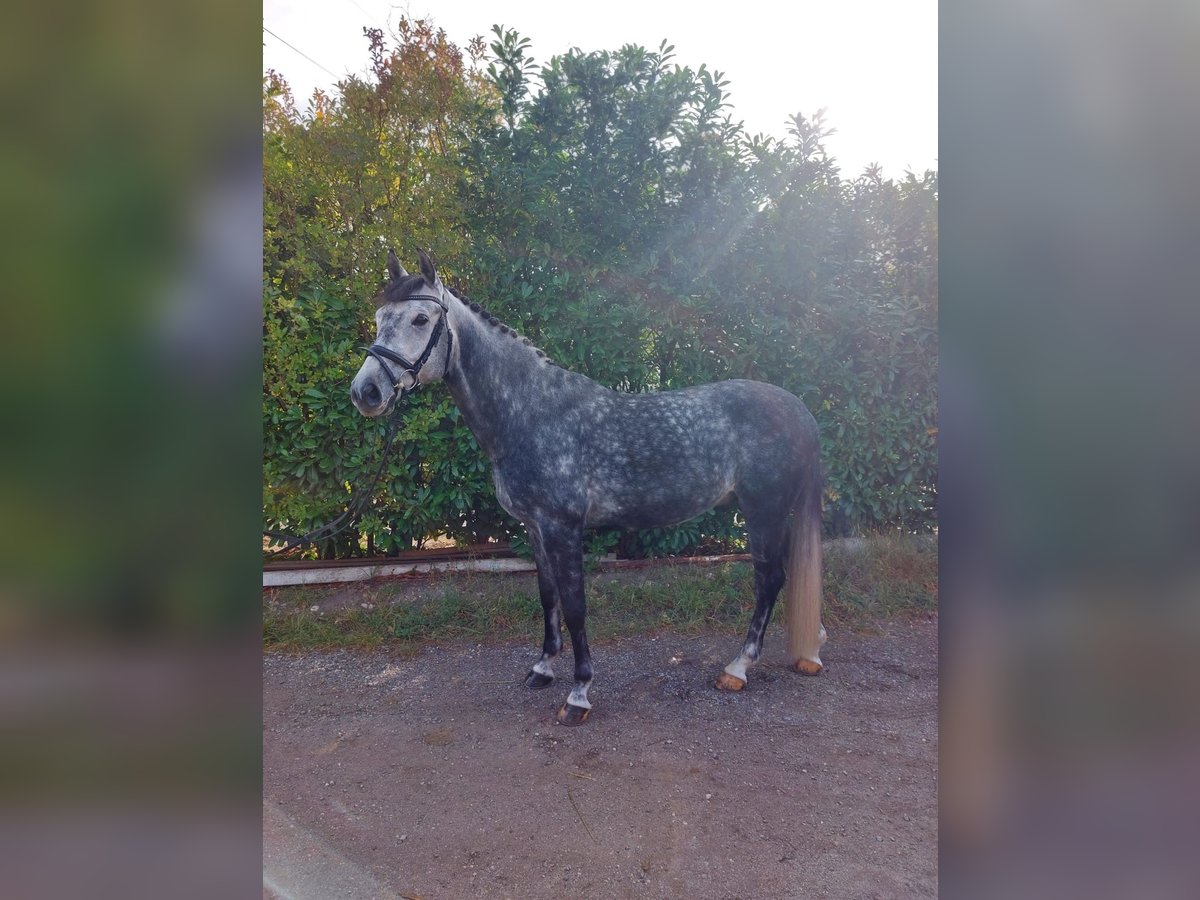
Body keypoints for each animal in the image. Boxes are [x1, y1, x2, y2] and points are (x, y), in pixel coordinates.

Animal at [350, 249, 826, 725]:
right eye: (379, 318)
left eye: (420, 319)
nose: (365, 392)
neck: (532, 414)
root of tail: (798, 408)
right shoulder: (534, 528)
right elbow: (548, 597)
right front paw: (543, 668)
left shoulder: (564, 528)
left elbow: (576, 605)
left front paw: (578, 693)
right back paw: (810, 649)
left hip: (763, 511)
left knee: (769, 579)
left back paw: (738, 668)